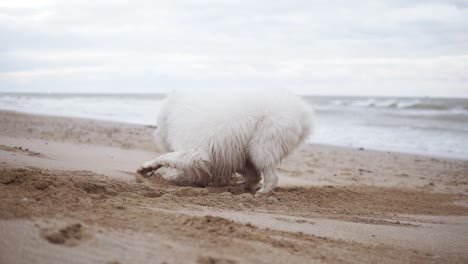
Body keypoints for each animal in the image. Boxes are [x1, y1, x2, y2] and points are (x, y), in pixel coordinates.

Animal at [137, 88, 312, 194]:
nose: (155, 132)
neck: (172, 114)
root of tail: (302, 113)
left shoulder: (197, 154)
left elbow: (166, 158)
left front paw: (149, 168)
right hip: (244, 152)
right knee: (254, 175)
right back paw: (241, 187)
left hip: (261, 148)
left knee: (271, 176)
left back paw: (262, 192)